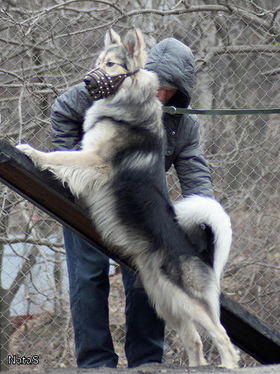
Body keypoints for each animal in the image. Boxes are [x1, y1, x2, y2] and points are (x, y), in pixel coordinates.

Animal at [17, 28, 240, 368]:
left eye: (110, 65)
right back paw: (196, 366)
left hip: (187, 300)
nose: (87, 81)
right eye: (98, 61)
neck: (127, 103)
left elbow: (60, 156)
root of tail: (198, 253)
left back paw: (226, 365)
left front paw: (33, 152)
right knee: (196, 341)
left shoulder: (96, 160)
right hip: (166, 300)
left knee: (223, 338)